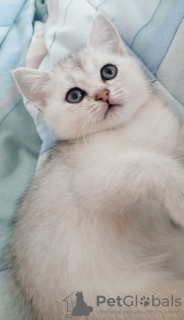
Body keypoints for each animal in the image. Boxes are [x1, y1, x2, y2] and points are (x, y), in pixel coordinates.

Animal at [10, 13, 184, 320]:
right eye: (75, 96)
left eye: (108, 72)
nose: (103, 94)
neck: (131, 126)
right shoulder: (91, 181)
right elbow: (149, 163)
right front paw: (180, 199)